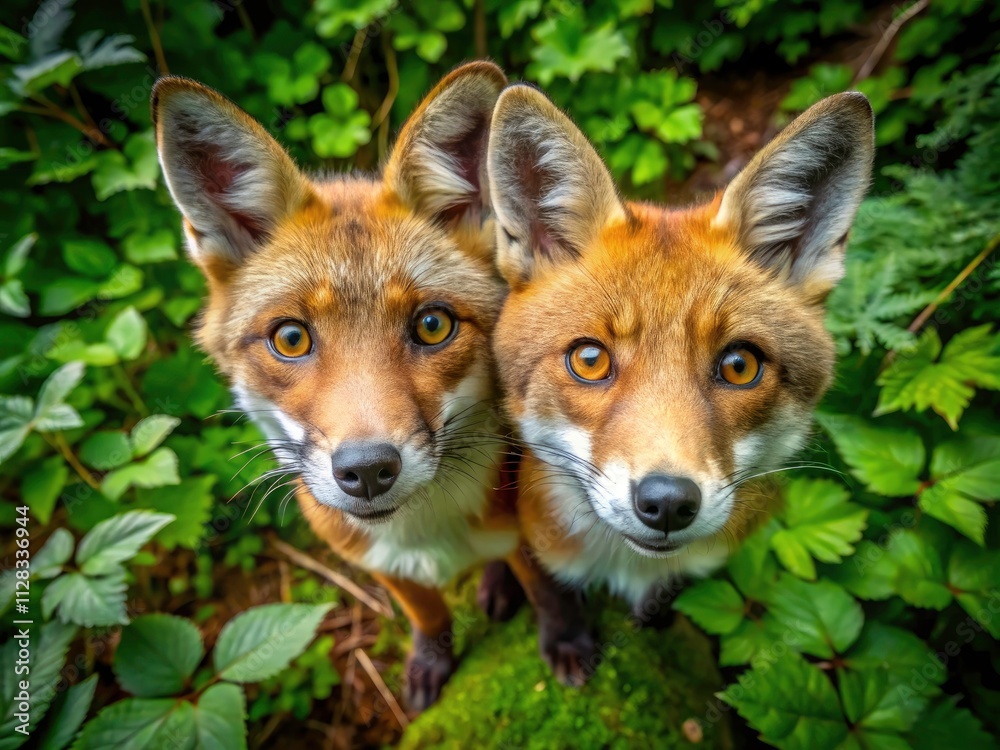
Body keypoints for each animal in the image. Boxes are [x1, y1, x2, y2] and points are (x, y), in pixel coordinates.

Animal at [151, 62, 524, 710]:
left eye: (432, 325)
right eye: (291, 338)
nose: (368, 469)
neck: (426, 537)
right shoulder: (379, 565)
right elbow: (427, 615)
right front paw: (432, 663)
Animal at [485, 86, 875, 682]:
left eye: (739, 366)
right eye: (590, 360)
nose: (667, 502)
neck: (624, 565)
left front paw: (653, 618)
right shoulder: (529, 537)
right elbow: (549, 592)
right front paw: (567, 640)